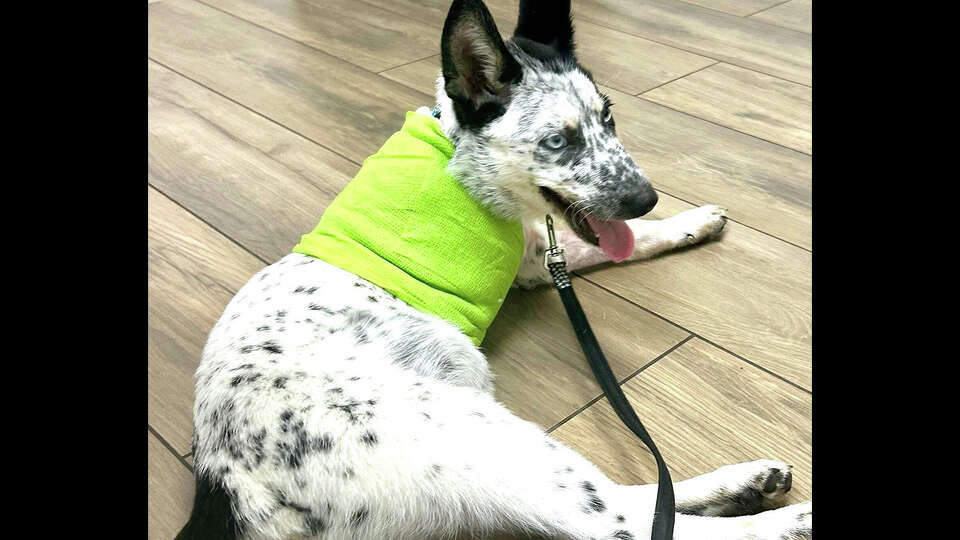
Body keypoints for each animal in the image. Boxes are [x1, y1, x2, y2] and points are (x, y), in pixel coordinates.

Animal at [178, 1, 808, 540]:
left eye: (609, 118)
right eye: (558, 141)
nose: (645, 197)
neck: (457, 145)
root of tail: (228, 488)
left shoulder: (541, 256)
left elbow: (625, 241)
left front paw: (690, 221)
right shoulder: (533, 260)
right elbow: (627, 242)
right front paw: (679, 221)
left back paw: (746, 485)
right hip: (477, 432)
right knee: (630, 520)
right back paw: (782, 515)